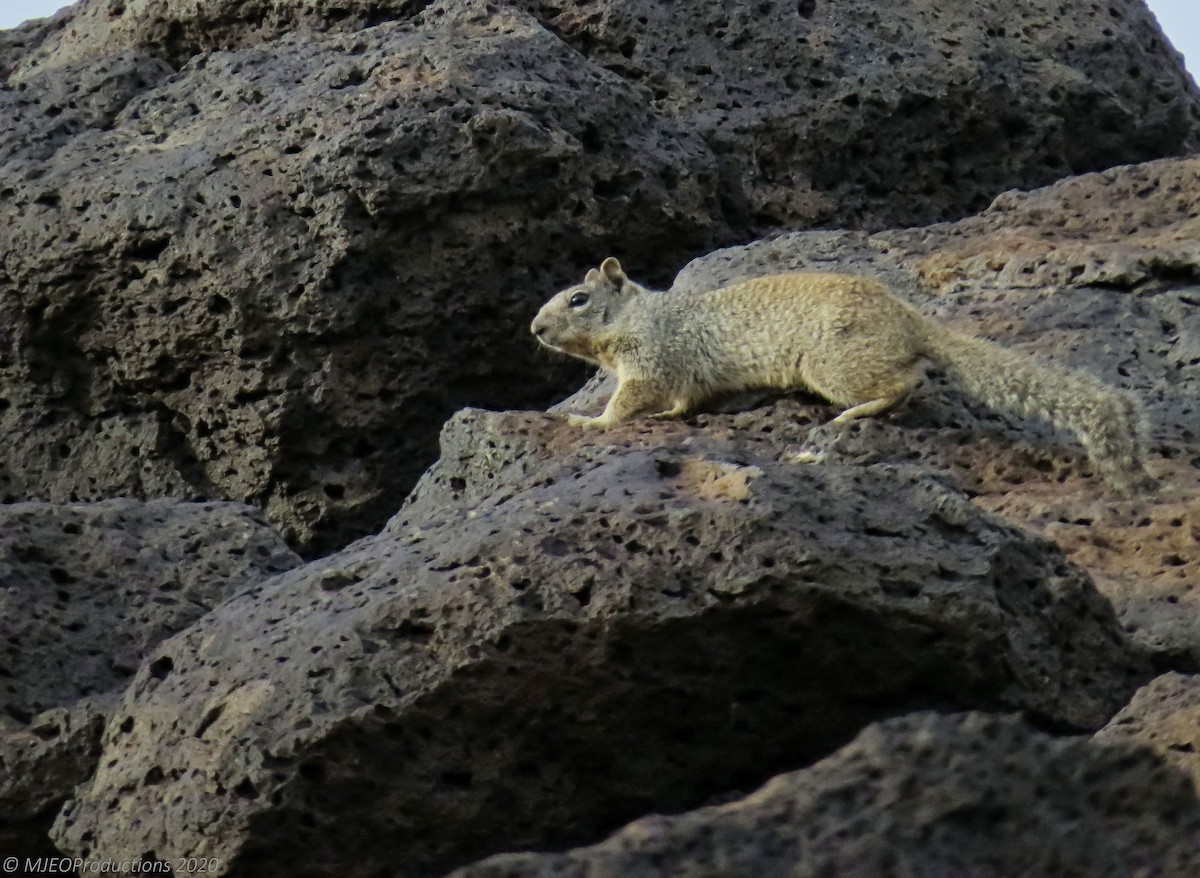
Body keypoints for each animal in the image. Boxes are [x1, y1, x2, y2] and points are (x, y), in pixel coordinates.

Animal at [531, 257, 1156, 496]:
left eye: (578, 299)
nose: (534, 327)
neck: (639, 315)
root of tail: (909, 318)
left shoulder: (652, 359)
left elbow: (630, 399)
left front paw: (591, 422)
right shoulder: (684, 380)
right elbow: (682, 403)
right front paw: (663, 415)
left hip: (832, 364)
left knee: (903, 383)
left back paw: (855, 413)